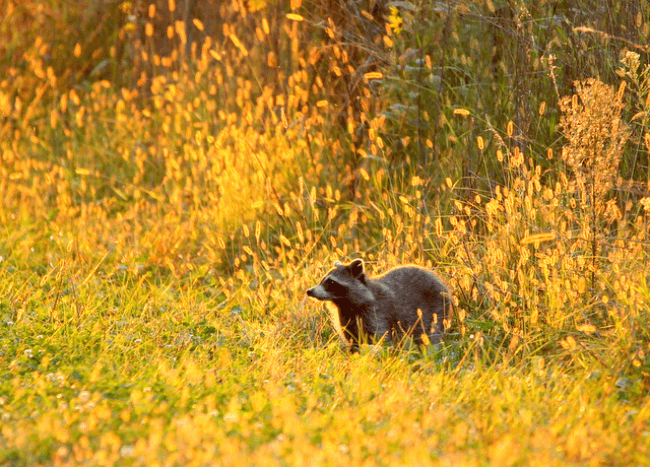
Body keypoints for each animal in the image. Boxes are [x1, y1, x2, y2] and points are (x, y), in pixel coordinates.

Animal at [307, 259, 451, 351]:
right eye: (322, 280)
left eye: (331, 282)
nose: (309, 291)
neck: (345, 304)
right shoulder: (346, 318)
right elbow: (353, 340)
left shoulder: (377, 313)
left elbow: (380, 338)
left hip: (436, 309)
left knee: (431, 334)